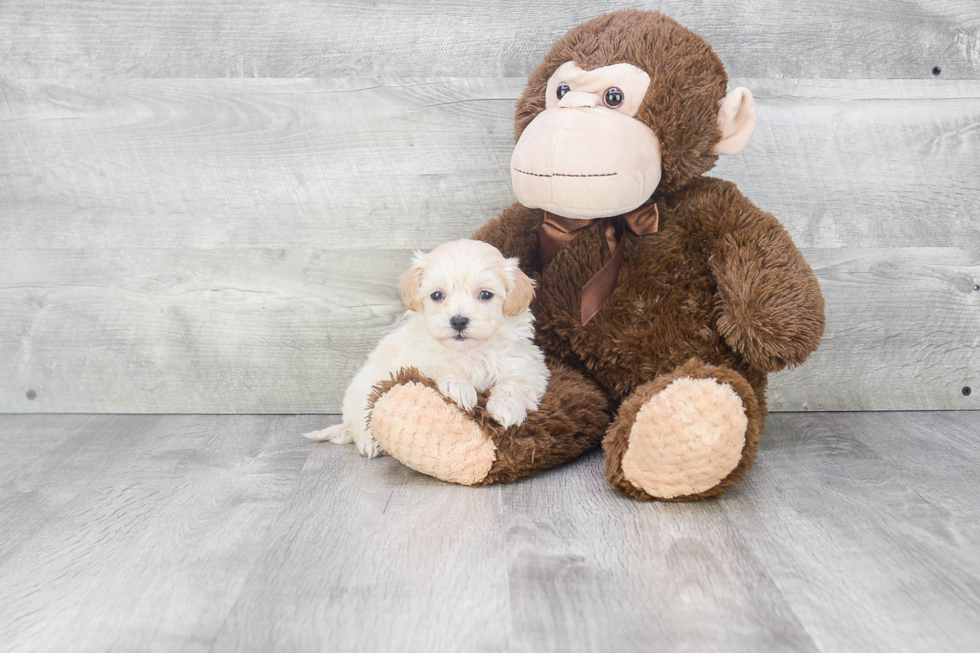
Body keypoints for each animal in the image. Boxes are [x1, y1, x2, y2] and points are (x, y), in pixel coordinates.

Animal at [304, 237, 548, 456]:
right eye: (437, 295)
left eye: (485, 294)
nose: (459, 321)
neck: (469, 351)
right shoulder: (417, 360)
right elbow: (441, 368)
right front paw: (461, 390)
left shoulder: (528, 365)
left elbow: (514, 383)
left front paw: (505, 409)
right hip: (363, 394)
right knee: (362, 424)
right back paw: (369, 443)